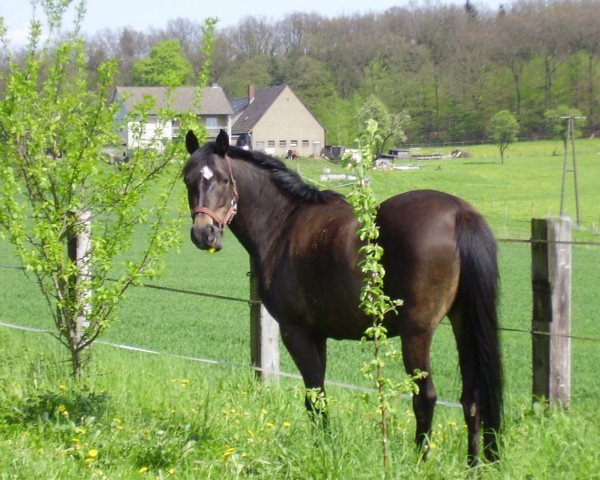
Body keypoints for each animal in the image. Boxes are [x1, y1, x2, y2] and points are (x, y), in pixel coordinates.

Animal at [182, 129, 502, 466]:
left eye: (223, 180)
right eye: (188, 179)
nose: (204, 233)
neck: (284, 223)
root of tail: (459, 213)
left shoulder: (296, 332)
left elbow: (315, 395)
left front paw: (323, 449)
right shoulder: (317, 335)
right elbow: (318, 393)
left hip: (416, 332)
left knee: (425, 397)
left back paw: (419, 462)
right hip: (463, 323)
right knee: (472, 398)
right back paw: (474, 465)